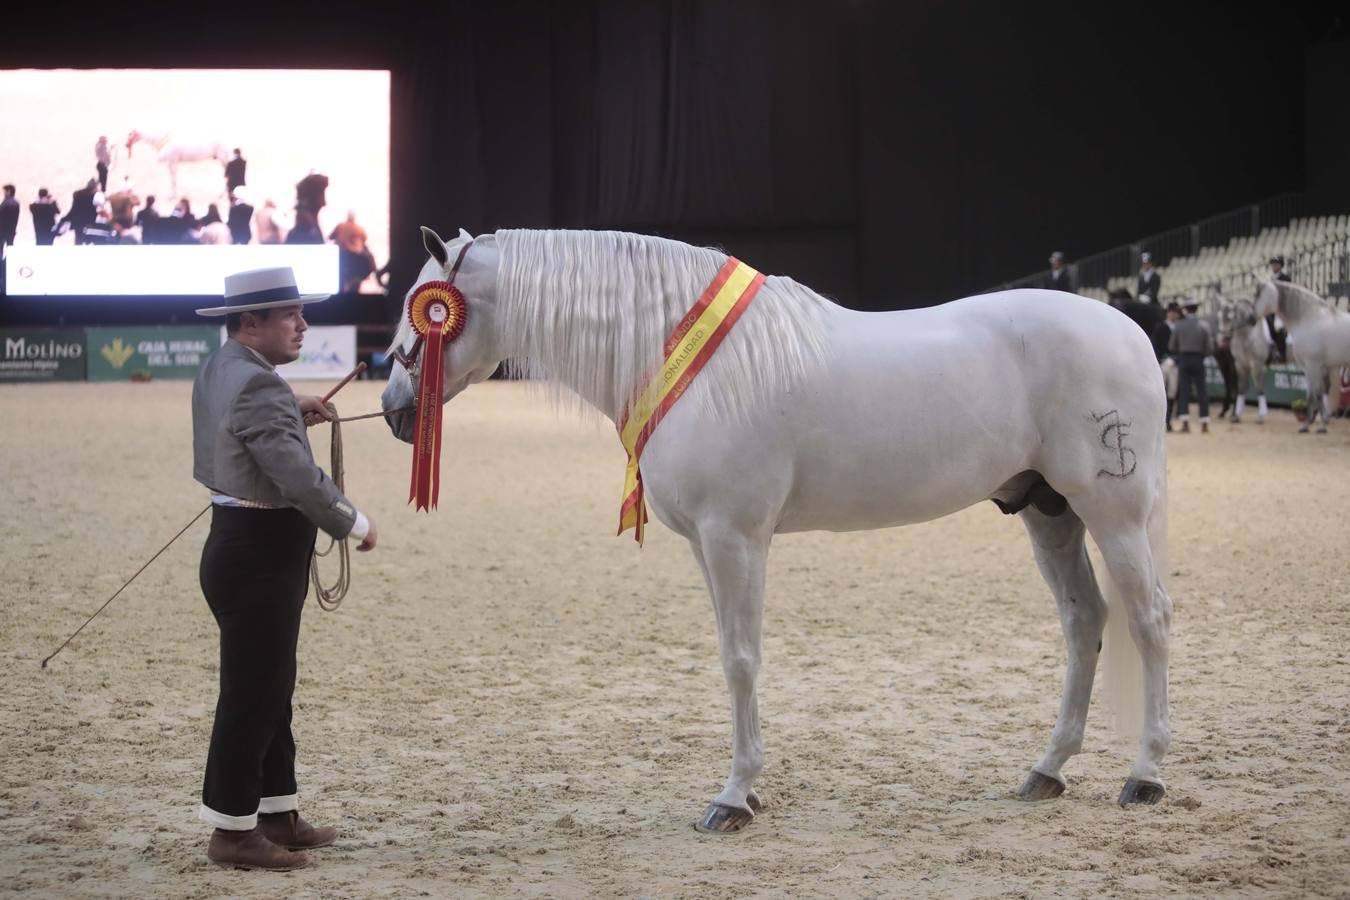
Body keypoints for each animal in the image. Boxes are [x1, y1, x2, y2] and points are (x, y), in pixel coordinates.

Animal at [380, 226, 1171, 831]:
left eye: (425, 309)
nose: (392, 409)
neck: (689, 360)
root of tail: (1129, 328)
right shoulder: (706, 545)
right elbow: (729, 654)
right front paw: (747, 789)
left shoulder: (735, 536)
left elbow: (741, 660)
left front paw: (734, 798)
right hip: (1048, 511)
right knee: (1084, 621)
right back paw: (1047, 769)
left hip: (1115, 512)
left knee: (1148, 620)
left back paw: (1145, 775)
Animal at [1231, 294, 1269, 423]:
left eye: (1231, 313)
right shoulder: (1241, 365)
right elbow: (1242, 388)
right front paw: (1237, 415)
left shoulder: (1257, 365)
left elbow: (1260, 388)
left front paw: (1261, 416)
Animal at [1252, 282, 1350, 437]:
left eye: (1259, 294)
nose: (1251, 317)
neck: (1310, 319)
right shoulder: (1307, 368)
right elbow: (1311, 395)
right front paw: (1306, 425)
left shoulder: (1313, 365)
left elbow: (1318, 394)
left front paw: (1321, 426)